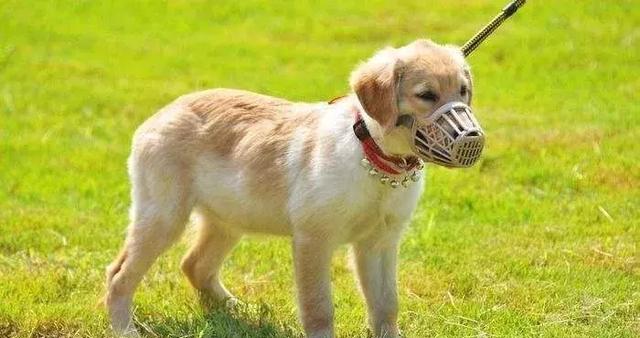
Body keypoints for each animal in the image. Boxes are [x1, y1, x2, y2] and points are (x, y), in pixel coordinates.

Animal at [104, 38, 476, 336]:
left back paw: (236, 310)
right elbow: (318, 307)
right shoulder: (313, 240)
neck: (373, 157)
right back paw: (125, 329)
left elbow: (386, 304)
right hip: (164, 215)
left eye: (463, 91)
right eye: (426, 95)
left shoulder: (380, 242)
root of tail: (161, 113)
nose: (472, 136)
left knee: (194, 265)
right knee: (118, 274)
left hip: (227, 220)